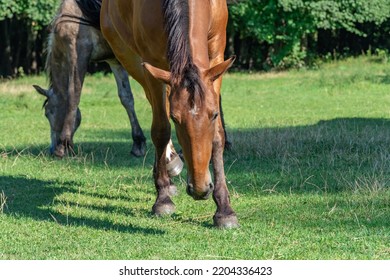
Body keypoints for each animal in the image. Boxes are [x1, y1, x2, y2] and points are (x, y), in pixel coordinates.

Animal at [32, 0, 152, 160]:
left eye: (48, 112)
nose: (52, 149)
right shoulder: (114, 60)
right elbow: (126, 98)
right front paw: (138, 143)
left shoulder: (79, 55)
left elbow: (73, 96)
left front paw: (63, 146)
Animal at [101, 0, 238, 228]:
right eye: (176, 119)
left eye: (214, 115)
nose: (200, 189)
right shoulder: (151, 64)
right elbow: (161, 130)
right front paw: (163, 198)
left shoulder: (217, 55)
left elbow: (218, 136)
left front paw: (224, 210)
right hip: (129, 59)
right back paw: (168, 165)